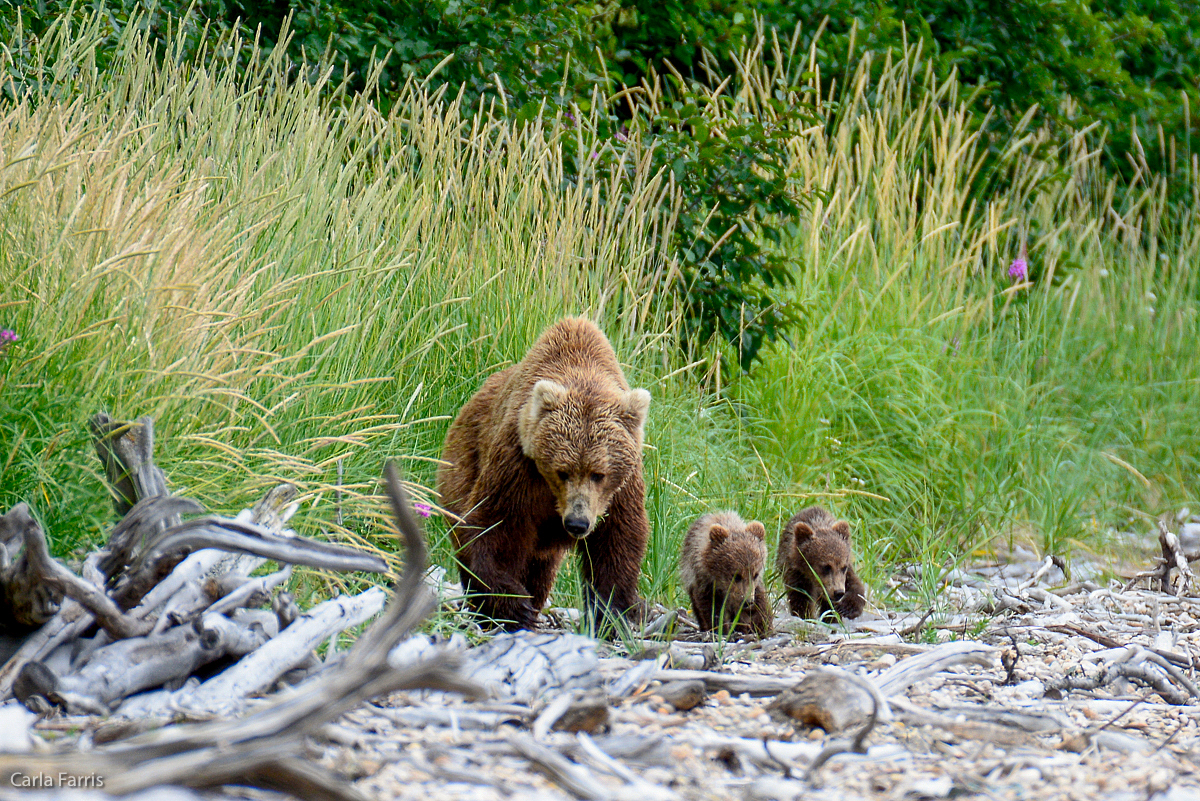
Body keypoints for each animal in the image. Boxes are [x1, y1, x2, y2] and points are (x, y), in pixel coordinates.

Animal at [439, 316, 652, 628]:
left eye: (598, 473)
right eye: (562, 471)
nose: (577, 523)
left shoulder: (621, 489)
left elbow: (617, 540)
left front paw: (611, 613)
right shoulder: (517, 466)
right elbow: (493, 525)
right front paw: (514, 605)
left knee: (541, 567)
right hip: (462, 464)